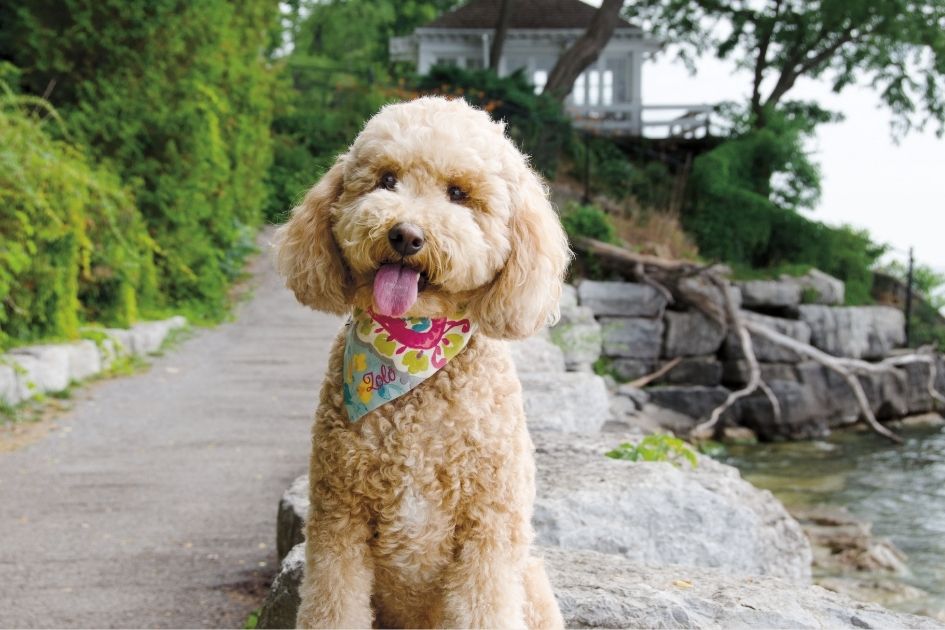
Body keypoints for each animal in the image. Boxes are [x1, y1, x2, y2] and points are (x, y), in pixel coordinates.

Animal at [272, 95, 568, 630]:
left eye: (459, 193)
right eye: (387, 180)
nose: (405, 235)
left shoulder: (488, 530)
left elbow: (484, 608)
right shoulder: (337, 522)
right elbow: (333, 606)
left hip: (531, 580)